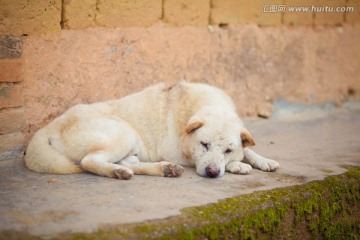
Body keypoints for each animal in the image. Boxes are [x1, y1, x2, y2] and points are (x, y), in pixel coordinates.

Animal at [25, 82, 280, 178]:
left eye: (227, 149)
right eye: (204, 144)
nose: (212, 172)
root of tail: (49, 126)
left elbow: (248, 150)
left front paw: (263, 161)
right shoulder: (176, 151)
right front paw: (238, 165)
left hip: (130, 144)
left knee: (131, 163)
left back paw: (162, 169)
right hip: (124, 133)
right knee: (89, 161)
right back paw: (117, 172)